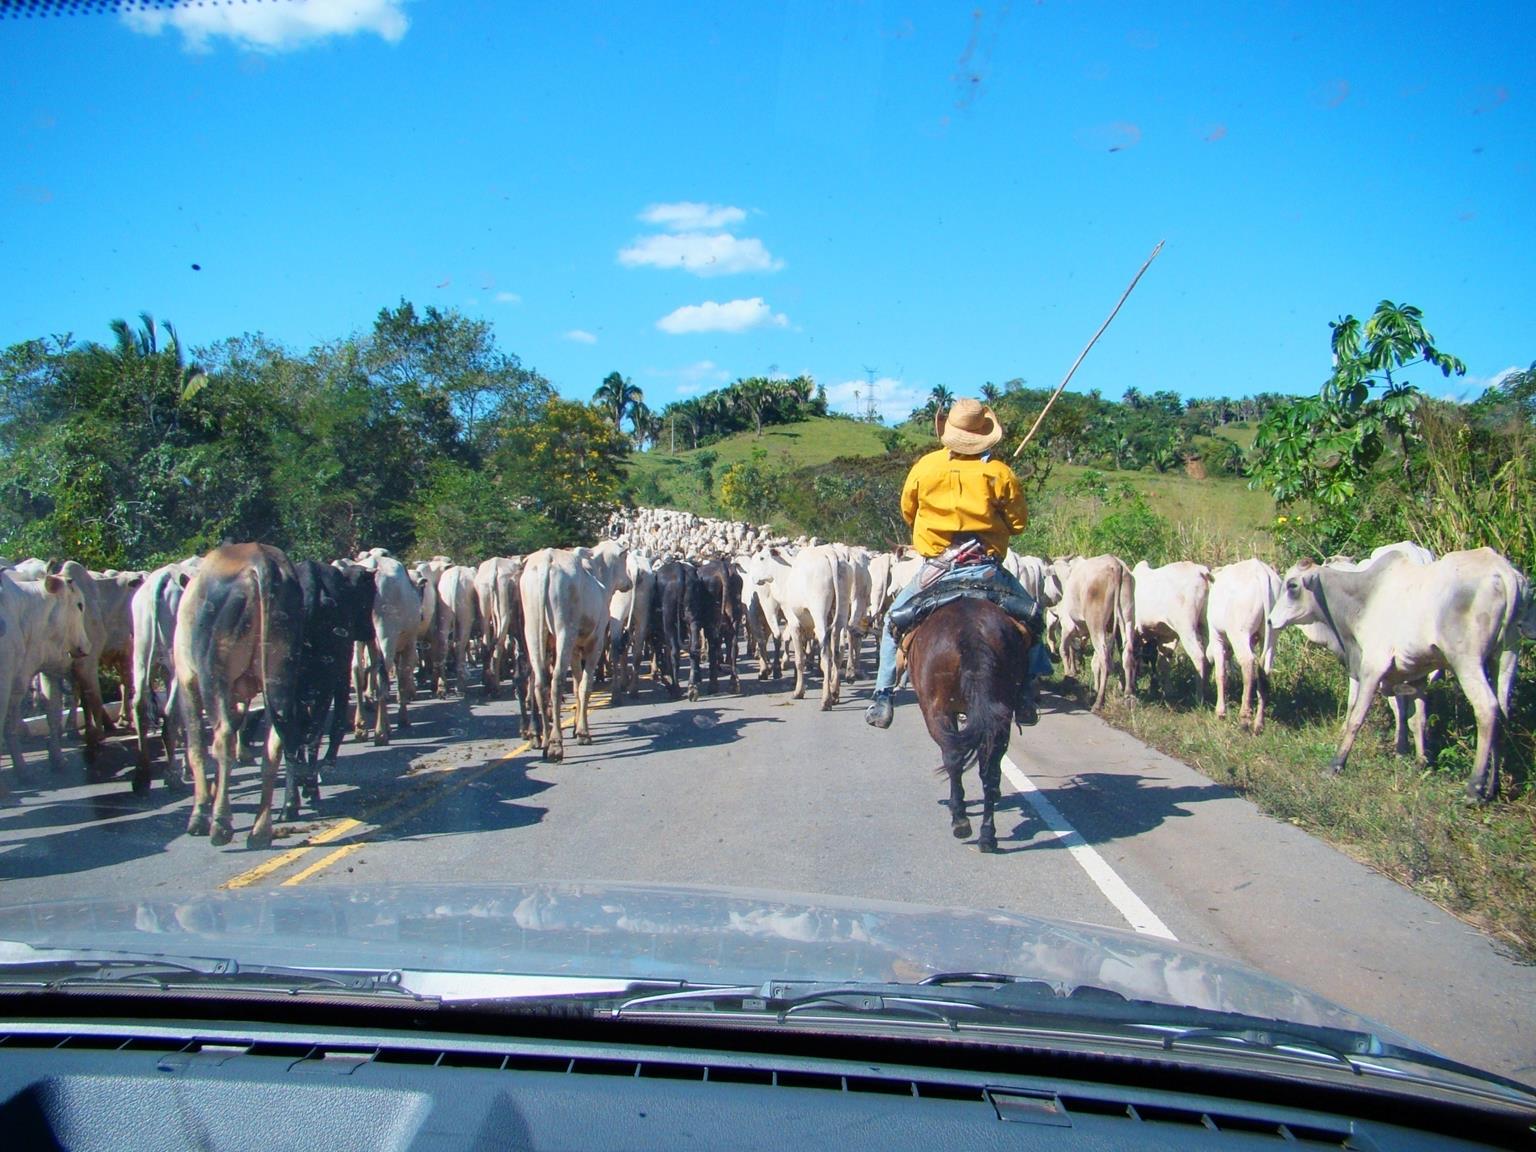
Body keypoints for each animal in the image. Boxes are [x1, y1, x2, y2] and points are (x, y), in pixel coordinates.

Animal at [897, 599, 1032, 854]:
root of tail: (971, 632)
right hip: (1000, 715)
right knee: (989, 769)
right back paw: (987, 835)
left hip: (937, 711)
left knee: (953, 758)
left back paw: (960, 819)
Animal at [1204, 562, 1277, 740]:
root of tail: (1261, 572)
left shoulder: (1216, 635)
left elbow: (1221, 674)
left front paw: (1220, 712)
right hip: (1273, 634)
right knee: (1264, 669)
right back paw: (1259, 724)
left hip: (1239, 632)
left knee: (1248, 662)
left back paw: (1244, 718)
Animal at [1265, 549, 1529, 804]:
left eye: (1292, 585)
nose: (1270, 620)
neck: (1364, 595)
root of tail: (1505, 572)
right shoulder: (1415, 676)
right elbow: (1416, 718)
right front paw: (1420, 762)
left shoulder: (1372, 666)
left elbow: (1356, 717)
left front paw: (1336, 764)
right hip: (1506, 656)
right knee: (1502, 711)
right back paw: (1492, 787)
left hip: (1466, 661)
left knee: (1487, 708)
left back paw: (1474, 789)